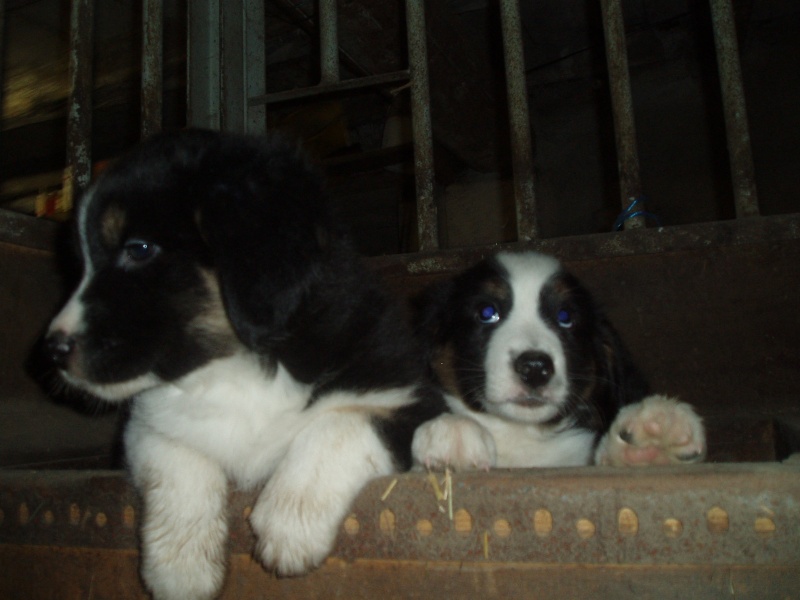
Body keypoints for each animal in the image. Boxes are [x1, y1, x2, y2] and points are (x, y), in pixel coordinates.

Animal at [45, 131, 444, 600]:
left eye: (138, 249)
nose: (52, 349)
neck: (235, 367)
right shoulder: (145, 426)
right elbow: (178, 458)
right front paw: (182, 568)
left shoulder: (408, 393)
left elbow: (339, 422)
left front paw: (290, 522)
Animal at [412, 251, 708, 472]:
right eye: (487, 312)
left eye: (565, 317)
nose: (535, 368)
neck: (520, 433)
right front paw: (452, 429)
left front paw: (655, 442)